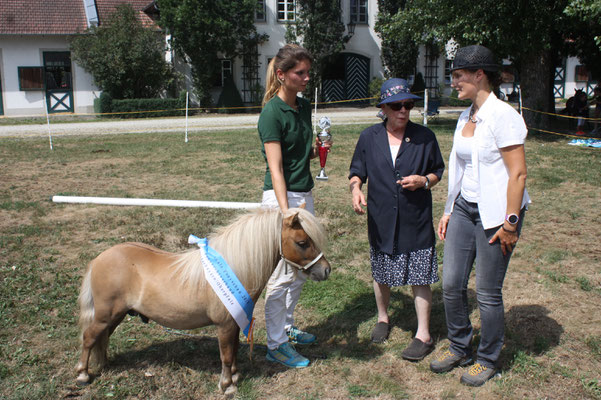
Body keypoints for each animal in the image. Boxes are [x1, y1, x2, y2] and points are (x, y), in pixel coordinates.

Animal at [75, 208, 330, 396]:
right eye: (302, 242)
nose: (326, 270)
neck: (236, 268)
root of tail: (99, 259)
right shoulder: (225, 325)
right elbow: (226, 355)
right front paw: (227, 386)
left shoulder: (235, 321)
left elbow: (234, 351)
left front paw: (234, 376)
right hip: (106, 315)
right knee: (89, 338)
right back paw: (83, 374)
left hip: (115, 316)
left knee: (101, 338)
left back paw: (103, 364)